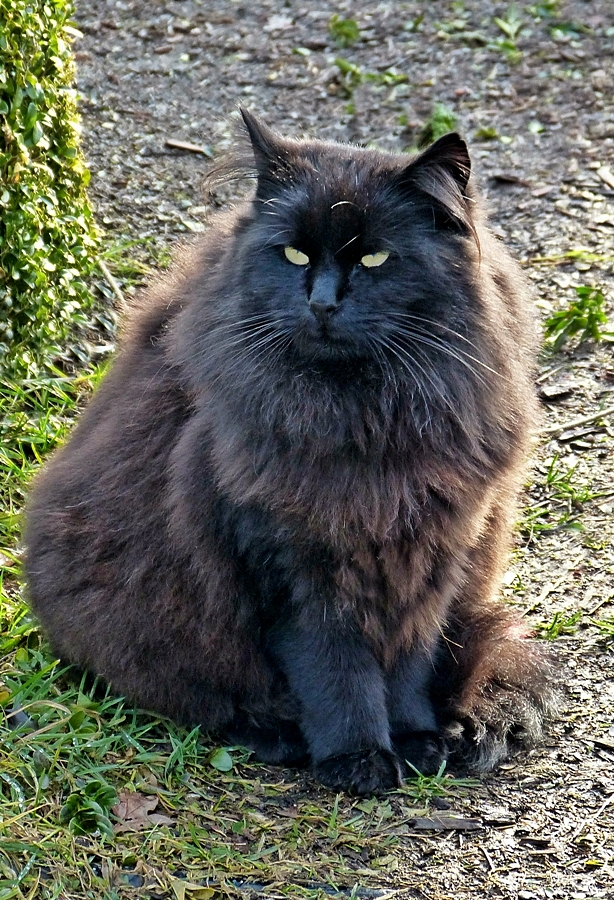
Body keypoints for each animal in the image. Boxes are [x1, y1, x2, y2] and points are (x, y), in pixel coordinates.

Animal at [25, 110, 560, 796]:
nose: (323, 303)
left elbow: (408, 664)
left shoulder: (432, 553)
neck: (364, 421)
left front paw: (416, 740)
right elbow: (335, 672)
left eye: (376, 258)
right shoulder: (291, 562)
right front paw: (357, 758)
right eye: (294, 253)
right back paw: (277, 734)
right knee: (203, 695)